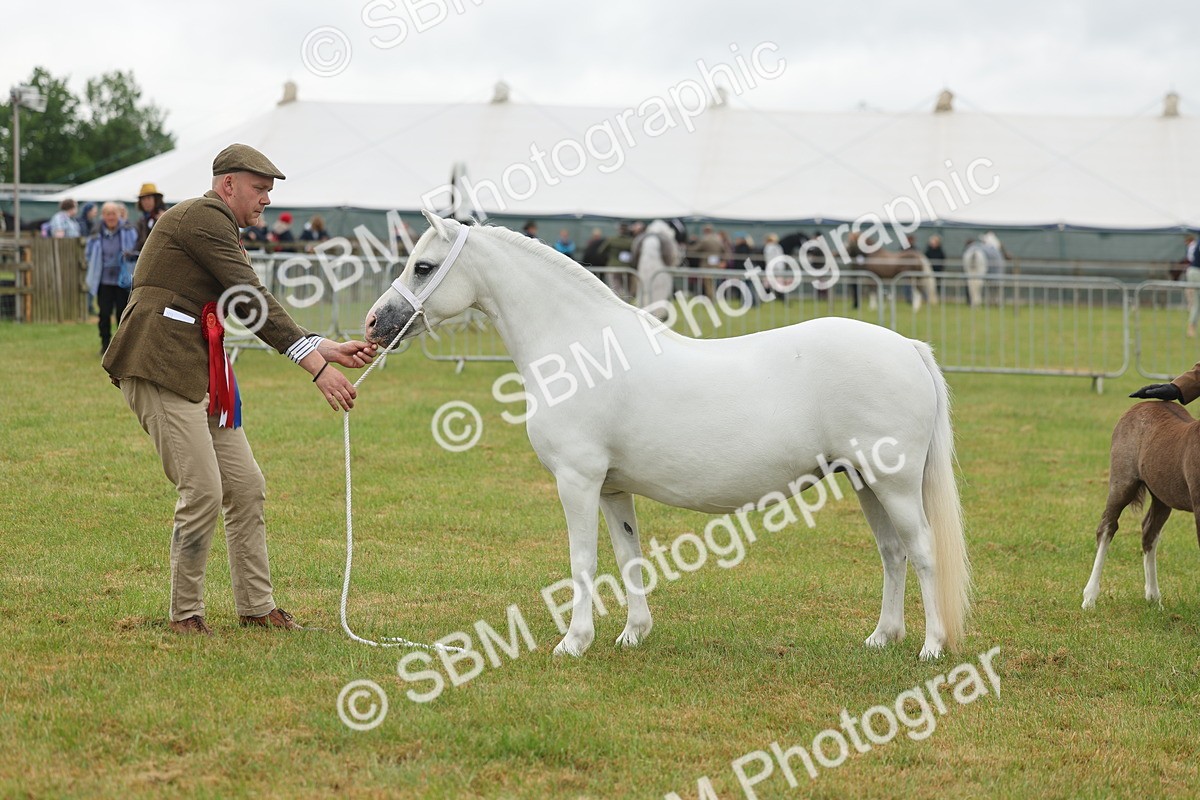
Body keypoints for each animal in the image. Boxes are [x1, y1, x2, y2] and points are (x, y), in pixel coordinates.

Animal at [365, 212, 971, 660]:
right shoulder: (611, 488)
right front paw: (633, 633)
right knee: (892, 553)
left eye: (423, 266)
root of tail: (907, 347)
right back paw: (881, 638)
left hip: (893, 483)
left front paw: (573, 642)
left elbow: (582, 561)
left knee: (921, 551)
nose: (375, 324)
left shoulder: (577, 481)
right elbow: (627, 555)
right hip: (864, 481)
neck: (582, 349)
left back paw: (931, 647)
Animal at [1082, 400, 1200, 610]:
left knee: (1149, 532)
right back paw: (1089, 598)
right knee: (1107, 527)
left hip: (1161, 495)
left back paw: (1153, 597)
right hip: (1122, 482)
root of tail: (1139, 405)